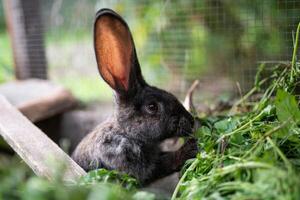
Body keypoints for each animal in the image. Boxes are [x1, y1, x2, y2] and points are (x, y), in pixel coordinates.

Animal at [72, 9, 199, 184]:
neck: (126, 132)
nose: (191, 121)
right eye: (152, 106)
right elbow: (159, 166)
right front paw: (190, 148)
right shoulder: (124, 157)